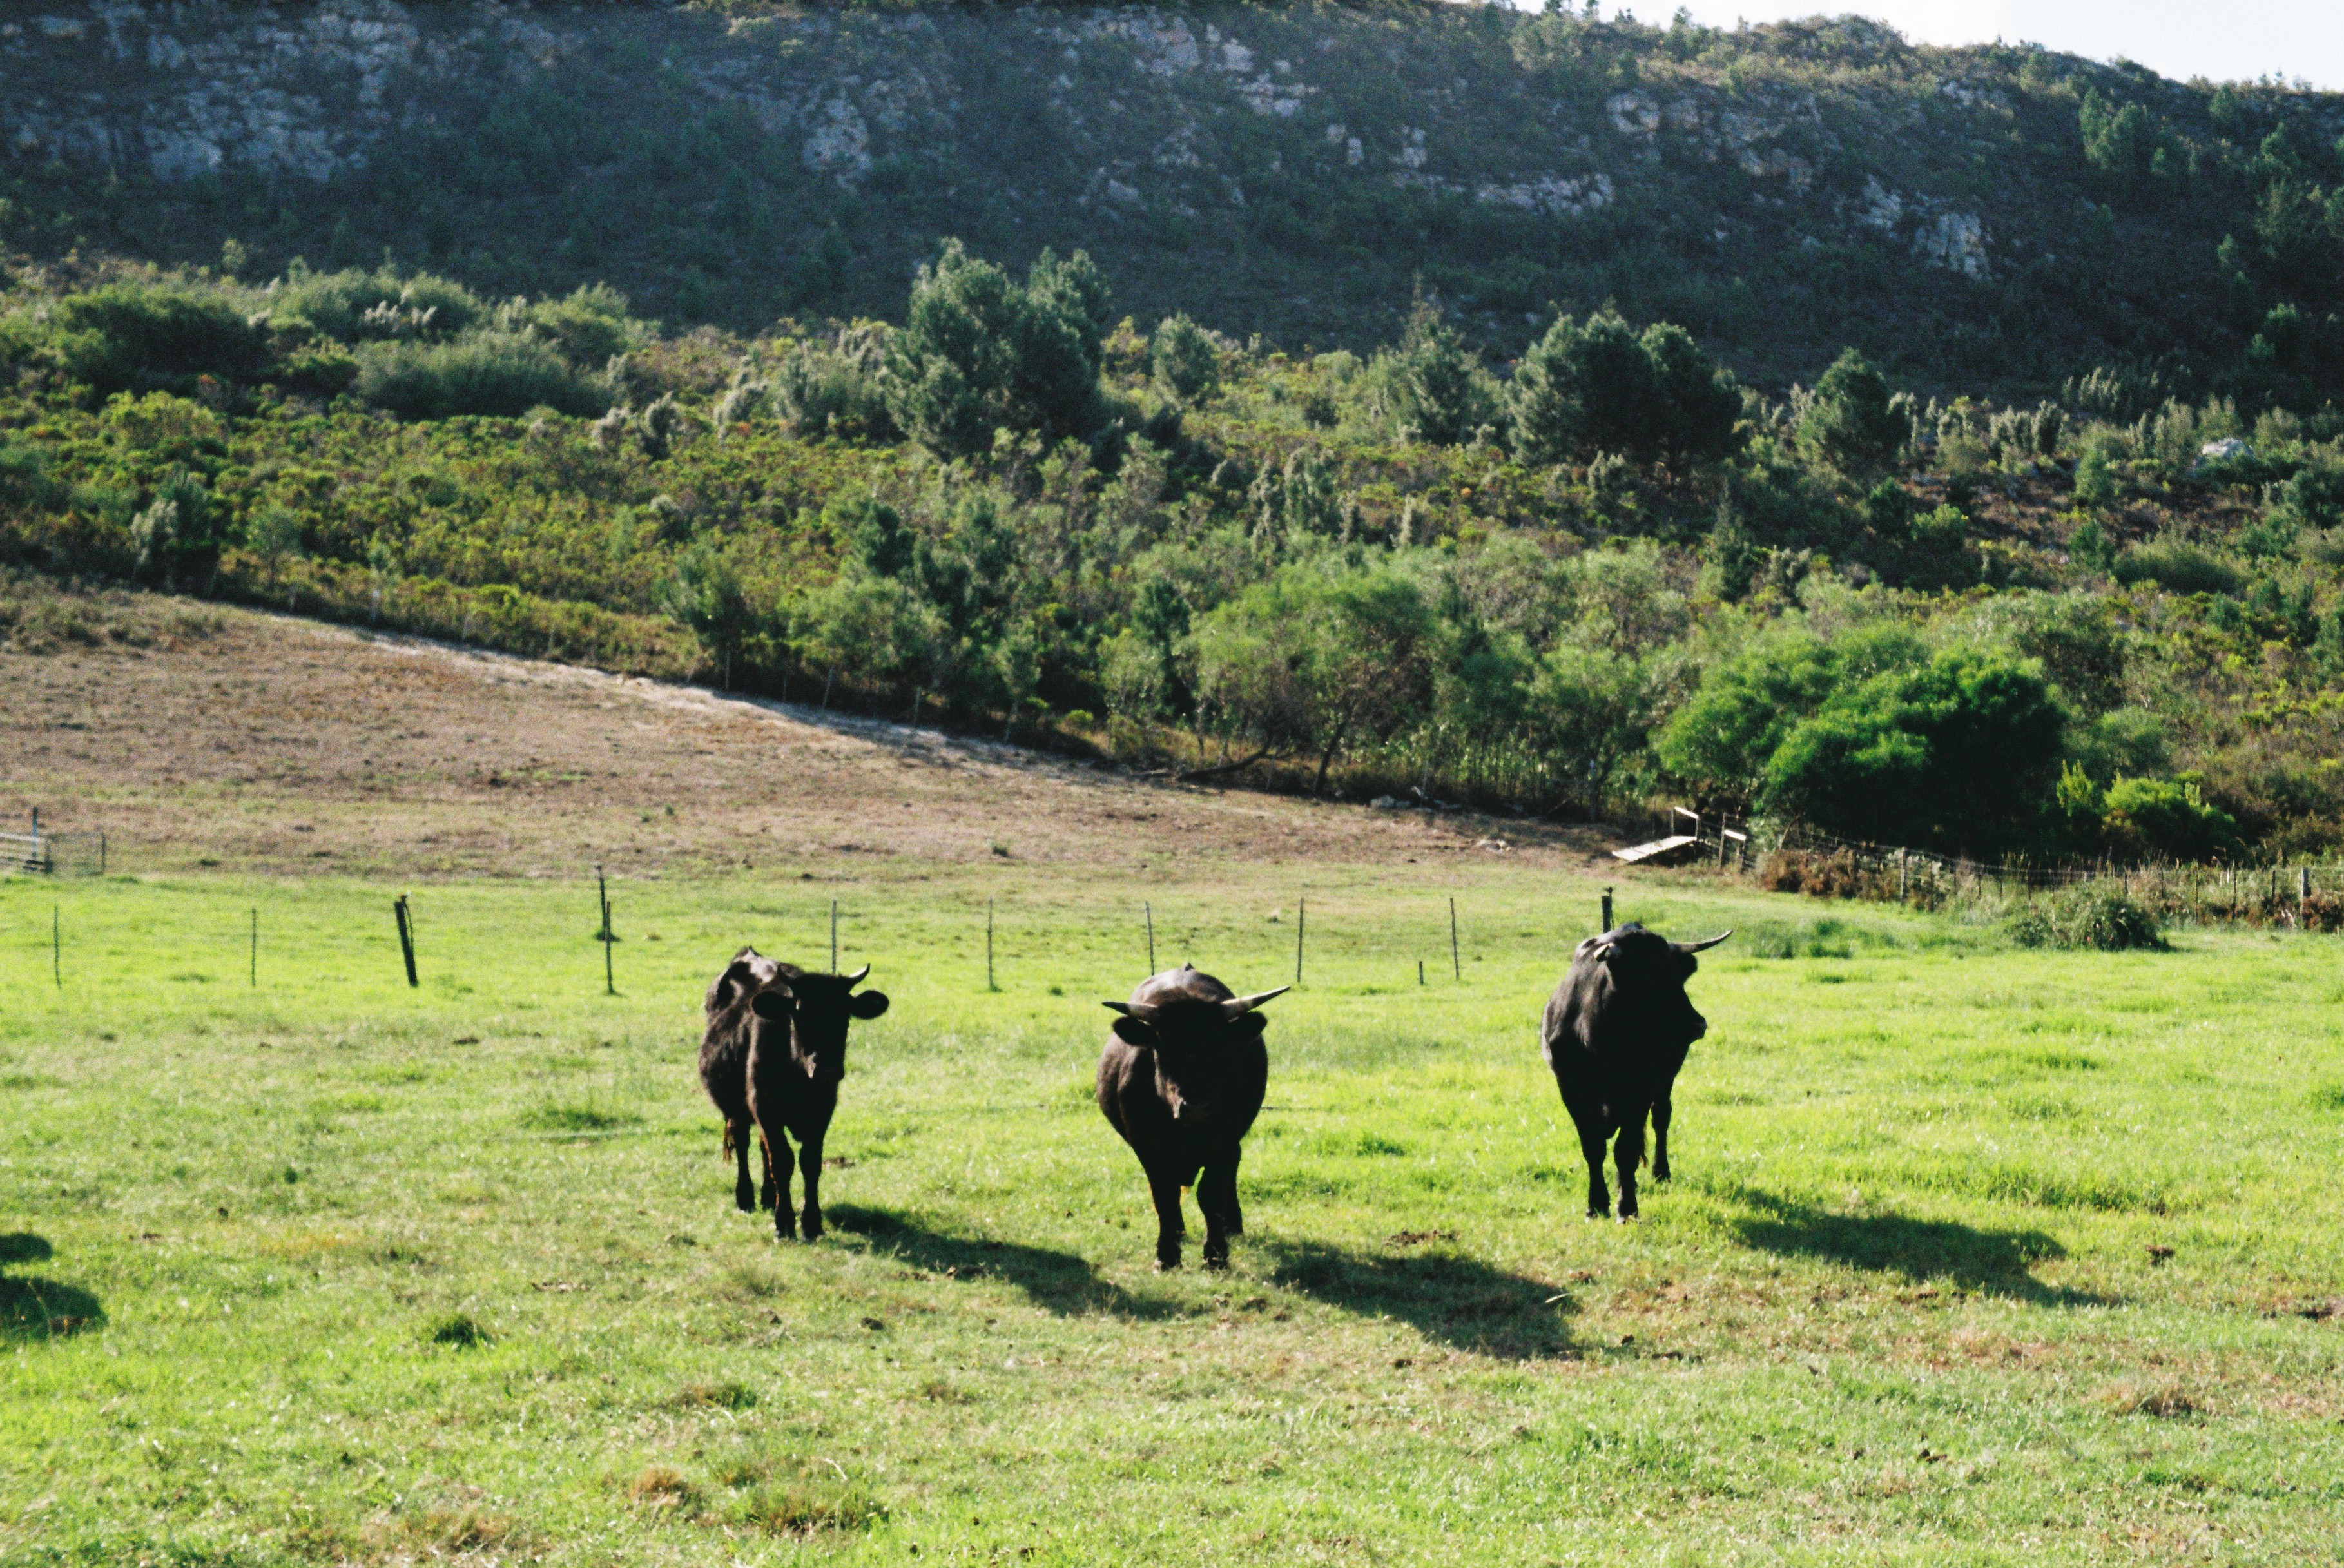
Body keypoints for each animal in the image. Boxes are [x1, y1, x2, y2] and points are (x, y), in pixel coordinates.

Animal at [699, 947, 890, 1240]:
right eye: (799, 1012)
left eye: (846, 1013)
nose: (827, 1069)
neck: (799, 1078)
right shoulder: (765, 1106)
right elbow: (782, 1161)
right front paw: (785, 1222)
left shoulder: (822, 1110)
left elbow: (809, 1162)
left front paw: (811, 1222)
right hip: (736, 1108)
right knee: (743, 1142)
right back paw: (746, 1198)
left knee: (762, 1148)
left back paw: (768, 1197)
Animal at [1097, 965, 1287, 1270]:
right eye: (1164, 1048)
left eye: (1221, 1048)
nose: (1197, 1108)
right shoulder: (1147, 1146)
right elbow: (1164, 1195)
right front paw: (1167, 1254)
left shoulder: (1225, 1142)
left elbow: (1211, 1194)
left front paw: (1216, 1254)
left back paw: (1232, 1225)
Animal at [1540, 923, 1730, 1222]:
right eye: (1647, 977)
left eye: (1678, 976)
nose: (1697, 1024)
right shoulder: (1571, 1090)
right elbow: (1593, 1147)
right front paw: (1596, 1204)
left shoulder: (1640, 1091)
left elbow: (1626, 1150)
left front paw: (1627, 1208)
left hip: (1665, 1079)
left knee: (1661, 1118)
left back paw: (1659, 1172)